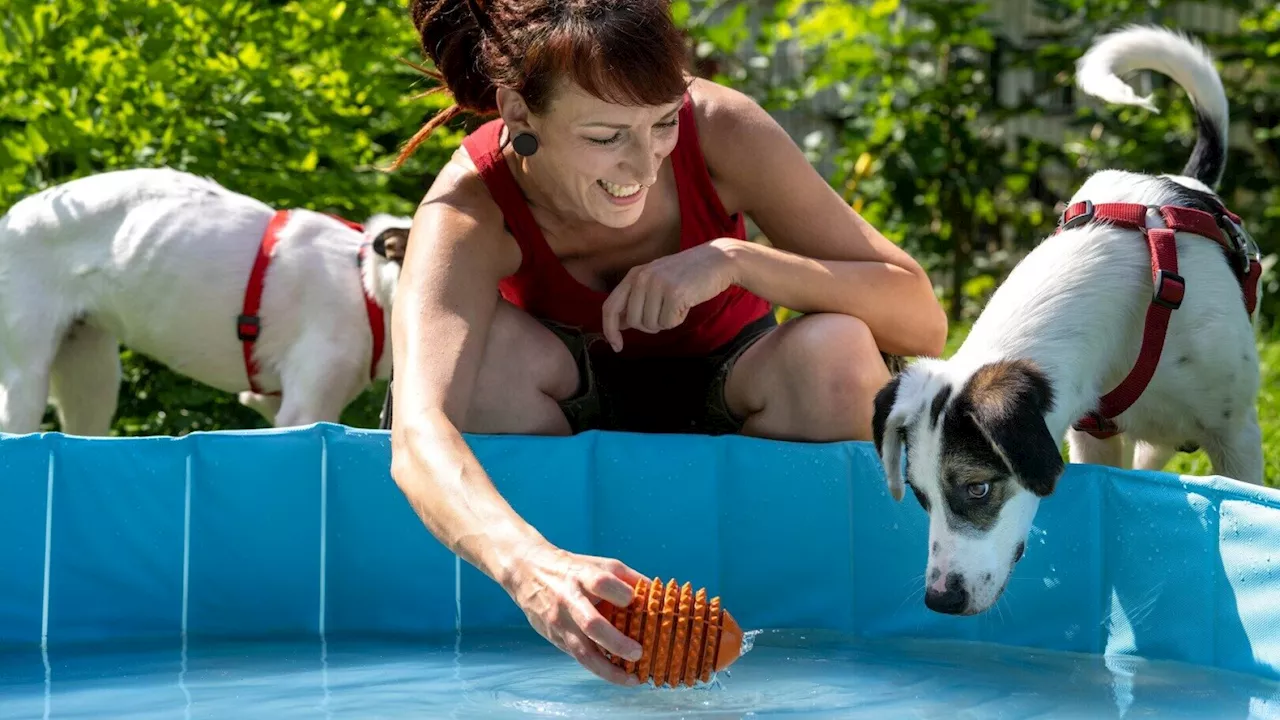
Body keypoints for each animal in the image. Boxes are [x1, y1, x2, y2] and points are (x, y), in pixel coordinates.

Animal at [0, 167, 409, 435]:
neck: (366, 284)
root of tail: (9, 219)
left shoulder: (272, 403)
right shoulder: (306, 408)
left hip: (91, 376)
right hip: (26, 382)